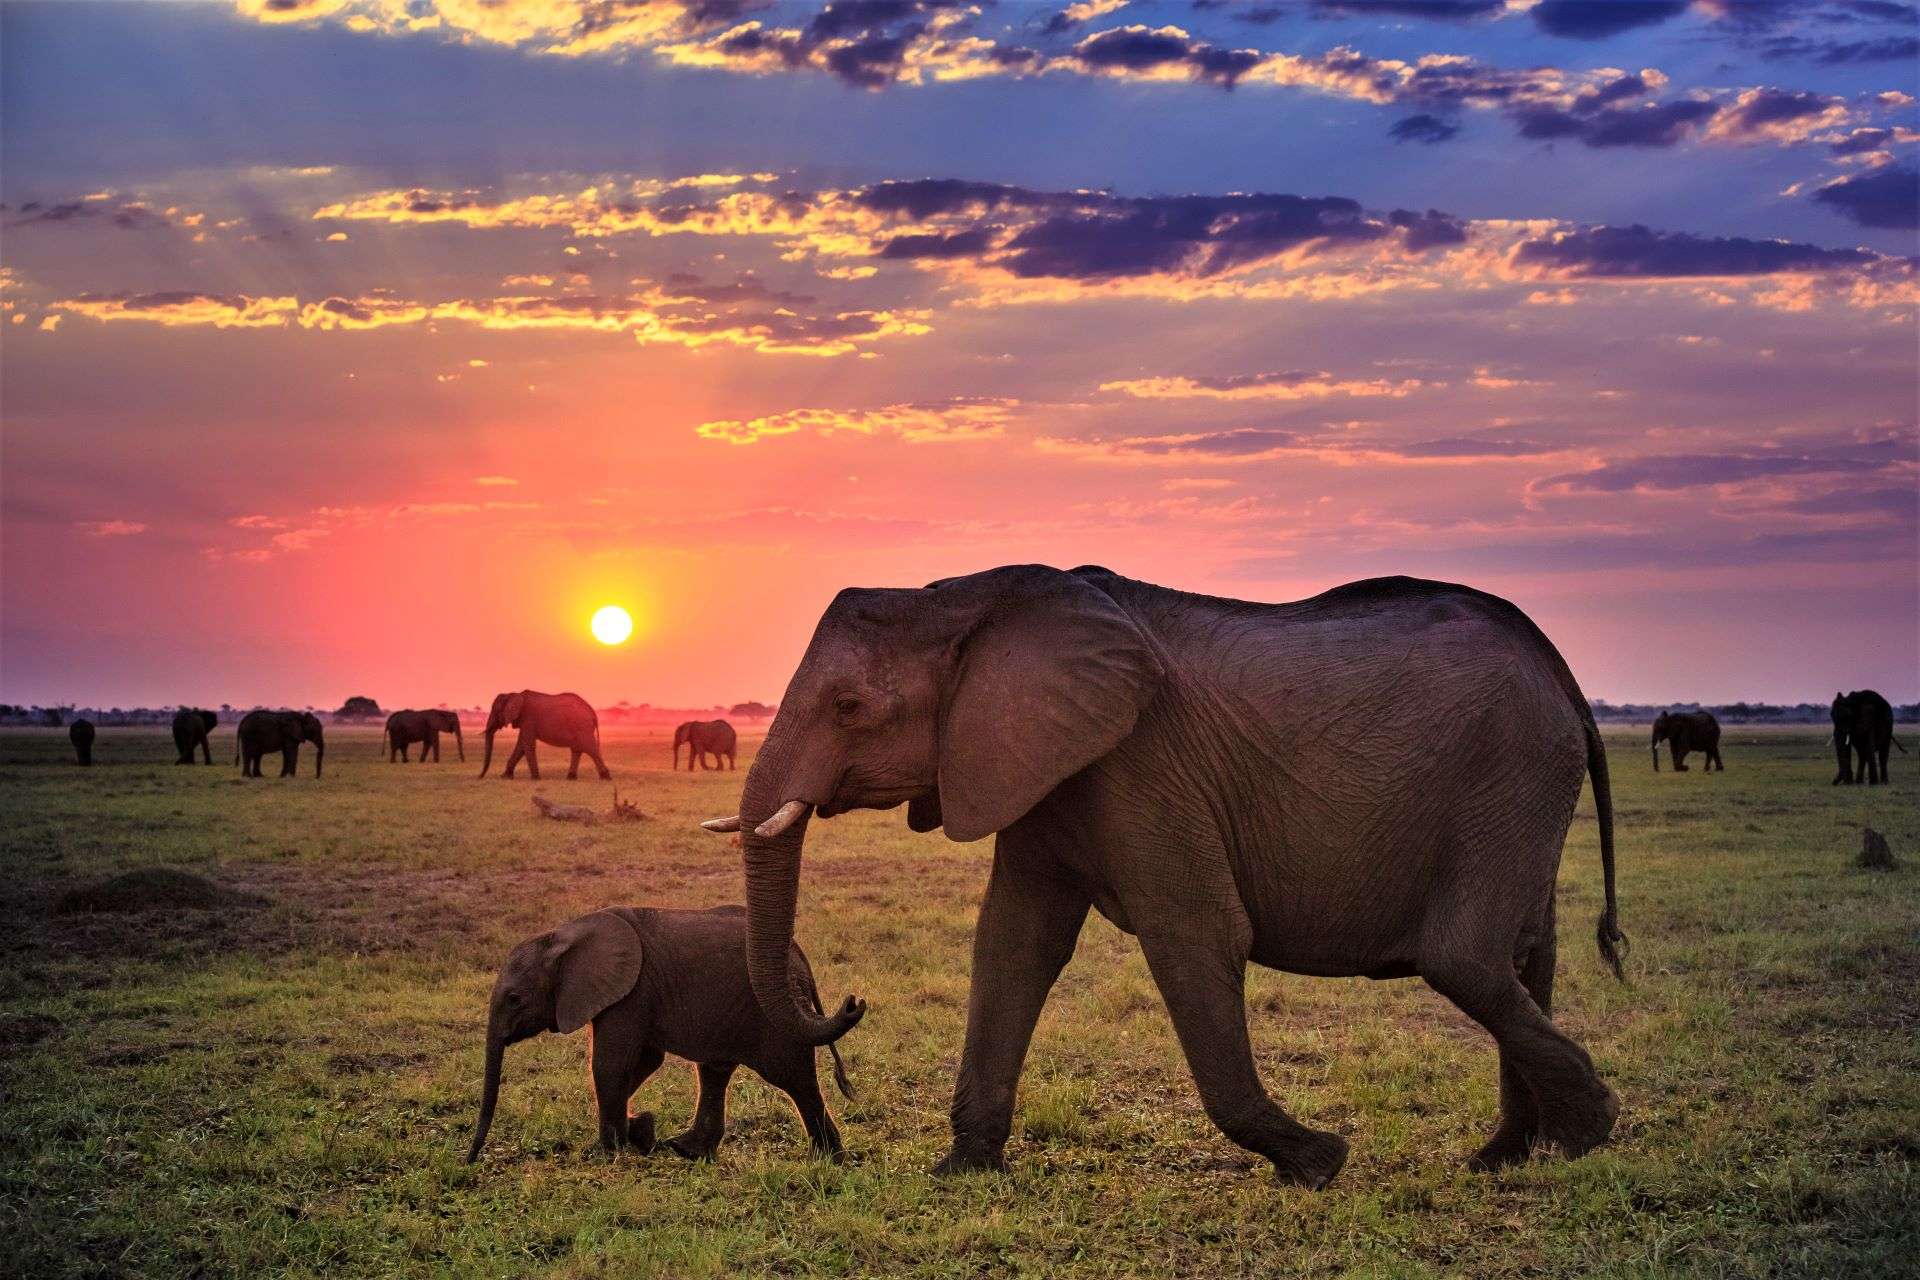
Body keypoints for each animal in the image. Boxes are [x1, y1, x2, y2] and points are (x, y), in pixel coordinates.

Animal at [464, 905, 864, 1166]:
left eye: (515, 999)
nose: (469, 1159)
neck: (561, 936)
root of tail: (799, 956)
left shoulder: (630, 993)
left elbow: (611, 1064)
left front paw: (608, 1152)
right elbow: (644, 1062)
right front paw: (640, 1130)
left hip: (773, 1016)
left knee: (793, 1076)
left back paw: (829, 1161)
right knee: (715, 1071)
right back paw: (688, 1151)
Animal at [698, 564, 1628, 1189]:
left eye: (850, 708)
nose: (851, 1002)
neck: (967, 594)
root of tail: (1558, 668)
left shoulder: (1142, 766)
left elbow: (1196, 933)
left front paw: (1319, 1162)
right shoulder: (1040, 767)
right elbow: (1013, 944)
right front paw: (961, 1170)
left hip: (1509, 772)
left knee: (1464, 959)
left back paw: (1587, 1135)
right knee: (1523, 958)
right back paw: (1503, 1158)